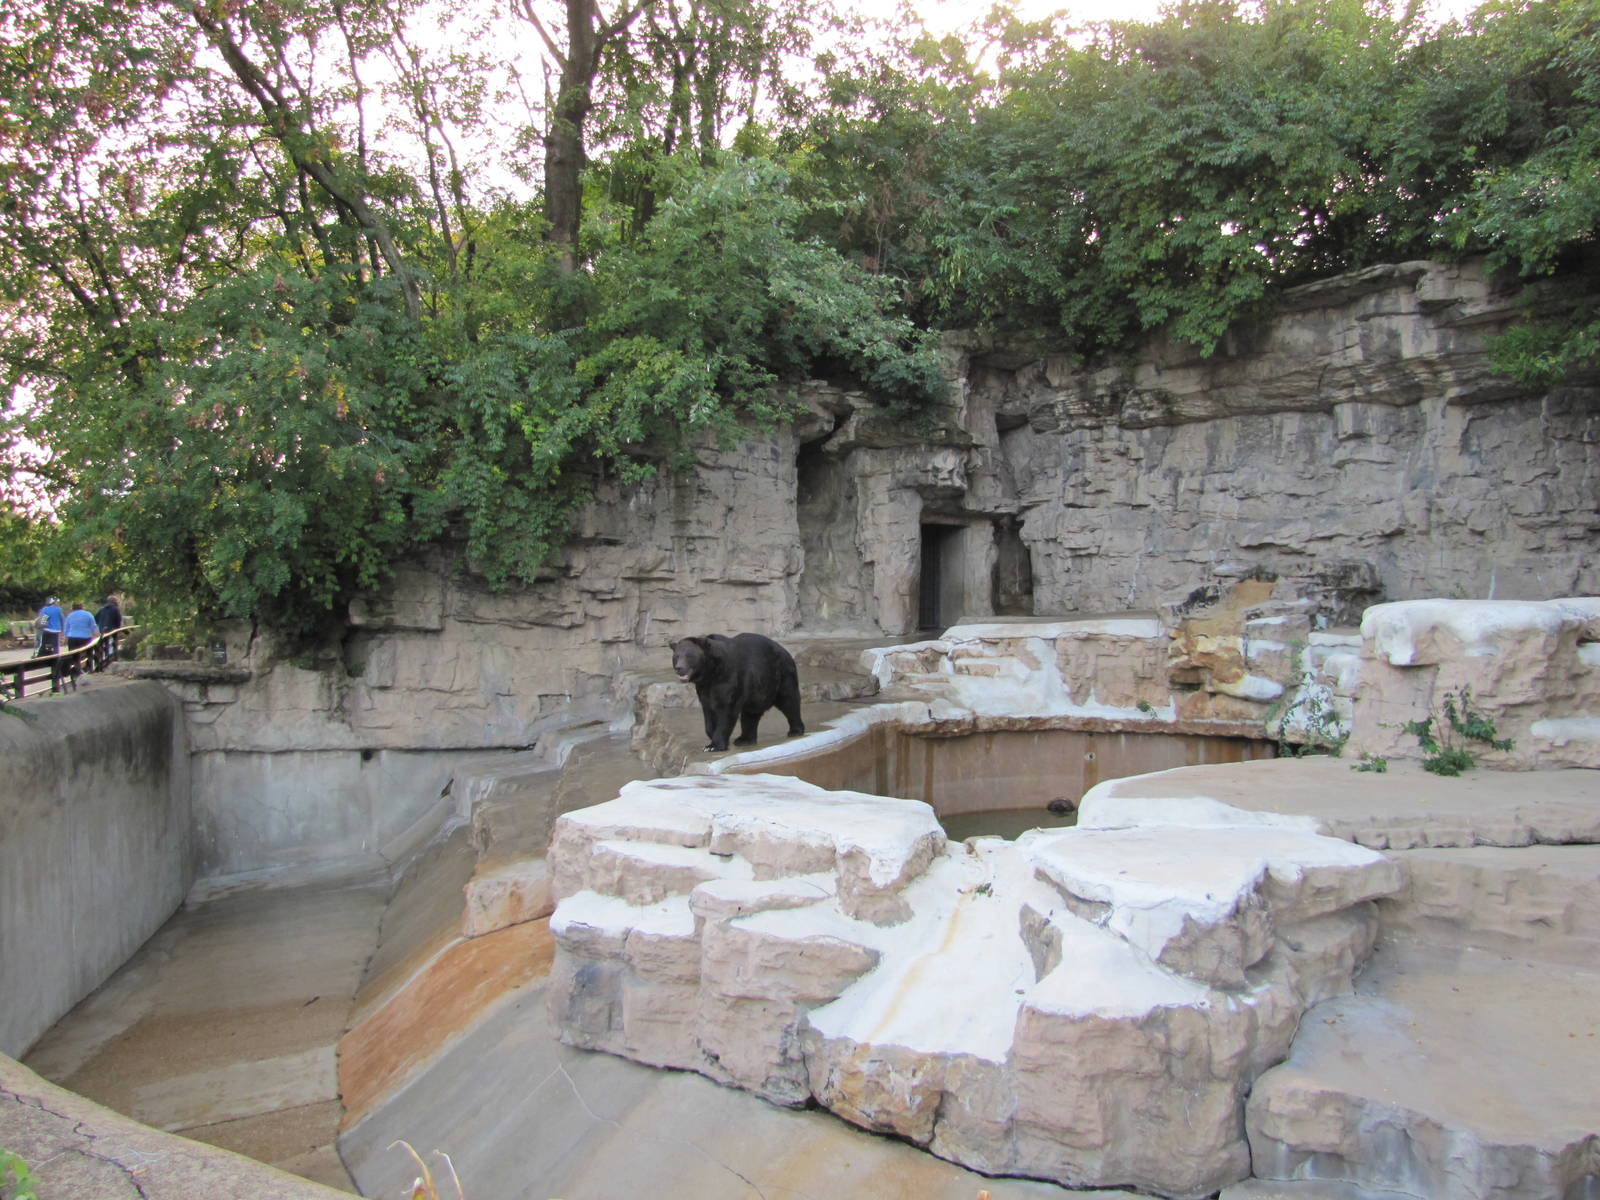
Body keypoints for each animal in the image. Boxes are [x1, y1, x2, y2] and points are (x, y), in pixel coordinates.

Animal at [670, 632, 805, 753]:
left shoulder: (729, 678)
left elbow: (726, 711)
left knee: (789, 700)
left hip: (781, 674)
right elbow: (709, 711)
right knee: (751, 714)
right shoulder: (704, 689)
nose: (679, 668)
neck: (711, 673)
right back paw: (744, 739)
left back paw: (795, 730)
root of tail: (785, 651)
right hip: (758, 688)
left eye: (689, 655)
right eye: (676, 656)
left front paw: (714, 746)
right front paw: (711, 738)